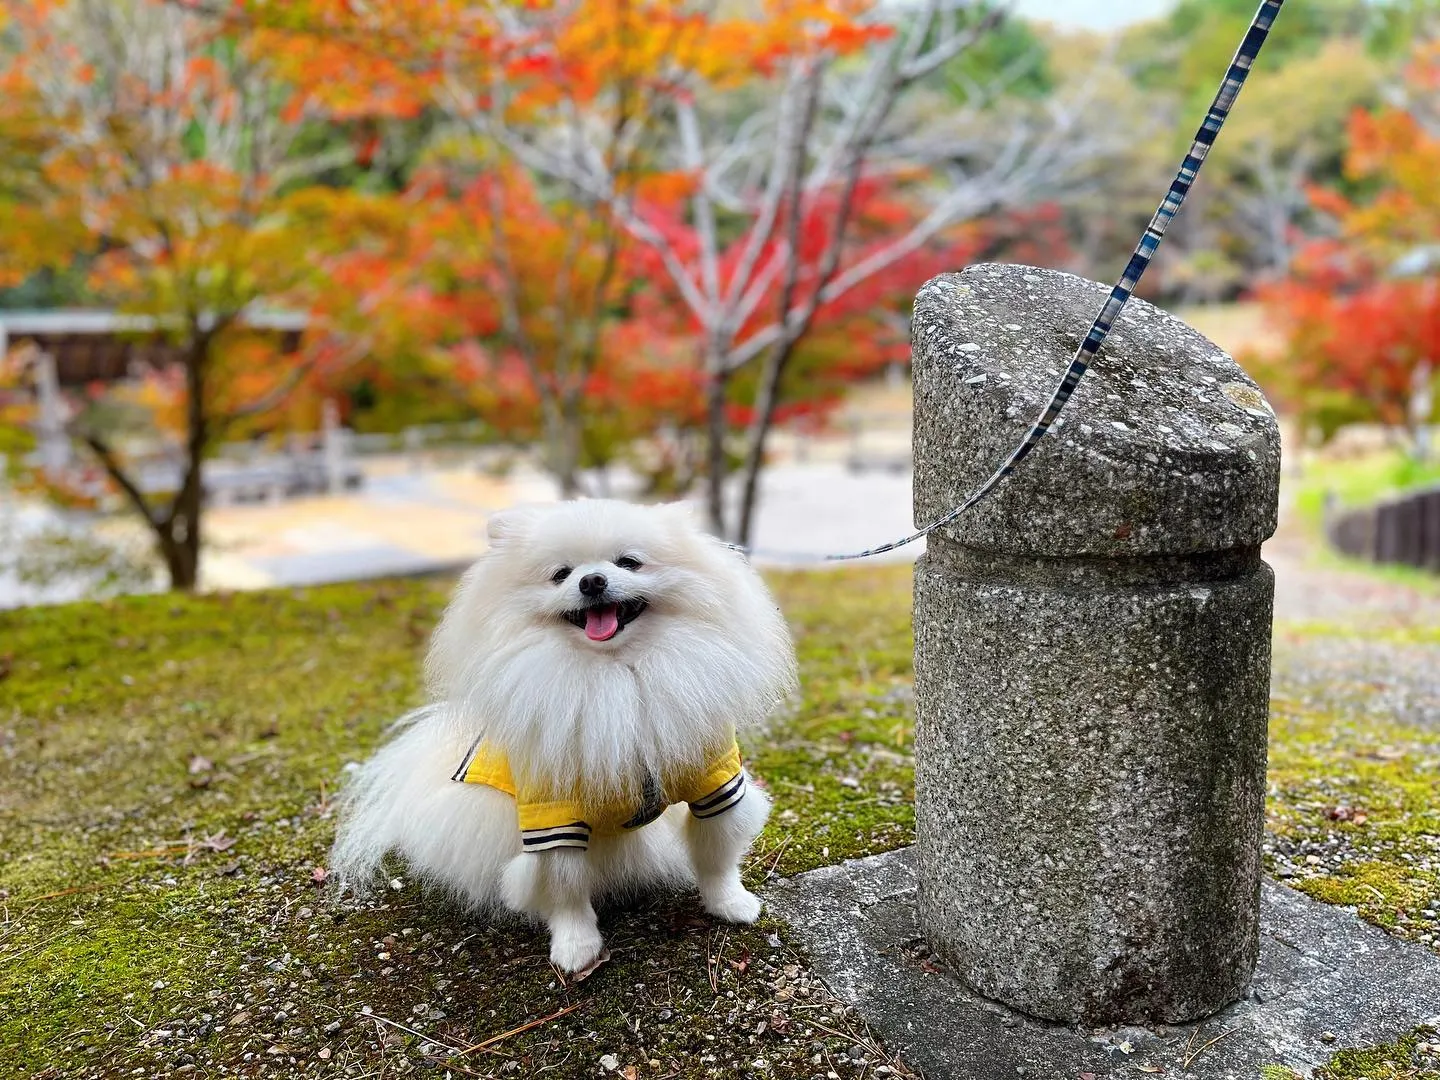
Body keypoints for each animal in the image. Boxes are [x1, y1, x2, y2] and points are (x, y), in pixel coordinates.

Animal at [329, 498, 800, 973]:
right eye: (560, 574)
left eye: (628, 562)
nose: (592, 581)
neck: (617, 674)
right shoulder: (552, 813)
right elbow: (565, 887)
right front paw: (576, 948)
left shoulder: (714, 783)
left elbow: (717, 855)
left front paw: (731, 904)